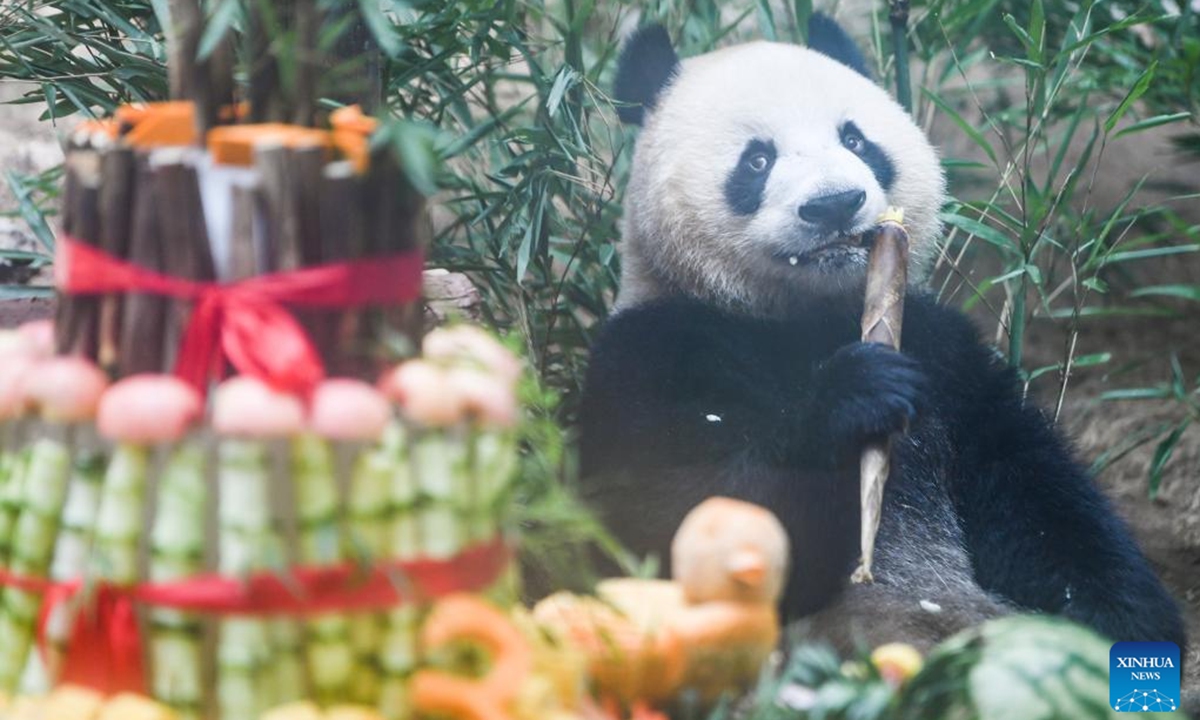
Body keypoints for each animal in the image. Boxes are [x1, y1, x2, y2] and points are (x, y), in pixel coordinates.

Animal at [576, 14, 1185, 648]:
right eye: (756, 161)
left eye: (855, 140)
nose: (835, 203)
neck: (806, 317)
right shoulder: (655, 352)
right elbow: (673, 520)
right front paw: (857, 395)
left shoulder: (947, 355)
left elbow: (1034, 493)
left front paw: (1123, 619)